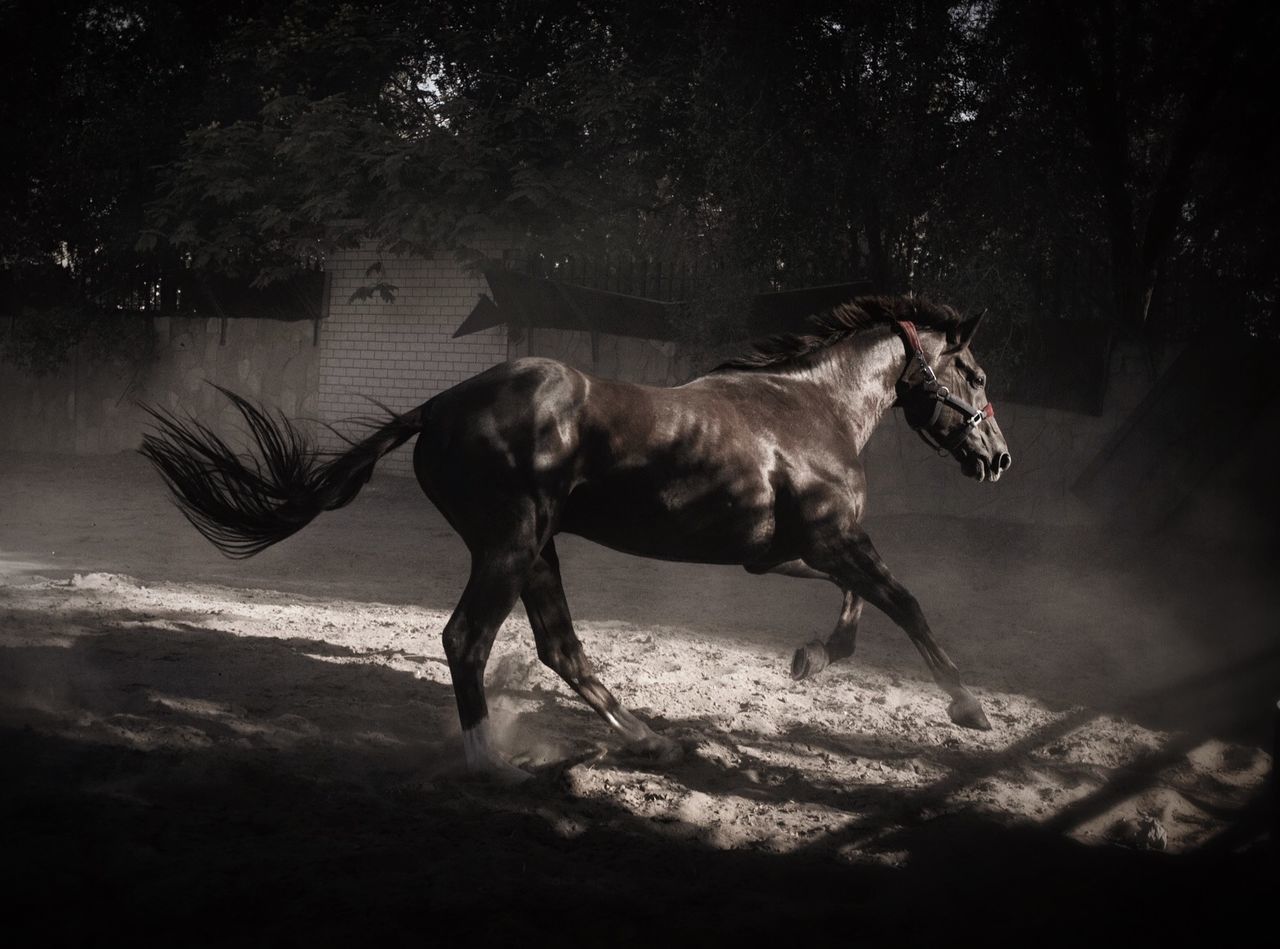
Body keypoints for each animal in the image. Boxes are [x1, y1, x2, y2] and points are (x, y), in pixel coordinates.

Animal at [142, 294, 1008, 778]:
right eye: (973, 372)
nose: (998, 457)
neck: (810, 409)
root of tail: (439, 406)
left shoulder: (789, 551)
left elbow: (859, 602)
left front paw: (811, 658)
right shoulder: (833, 538)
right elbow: (904, 600)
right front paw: (970, 707)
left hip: (536, 548)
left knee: (561, 648)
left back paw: (648, 740)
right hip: (511, 543)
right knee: (467, 638)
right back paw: (494, 764)